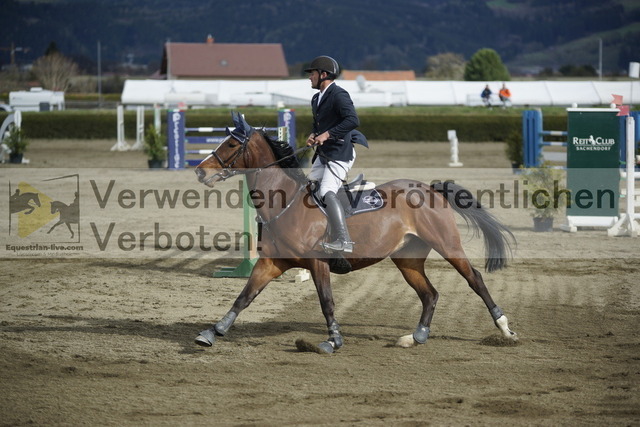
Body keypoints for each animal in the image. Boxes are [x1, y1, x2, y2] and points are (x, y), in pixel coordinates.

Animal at [192, 113, 516, 354]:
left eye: (230, 145)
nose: (199, 171)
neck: (285, 203)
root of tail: (429, 188)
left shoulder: (318, 263)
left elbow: (326, 302)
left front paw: (332, 340)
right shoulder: (271, 263)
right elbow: (244, 297)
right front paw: (213, 331)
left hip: (447, 244)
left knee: (474, 279)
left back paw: (505, 329)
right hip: (407, 258)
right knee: (429, 294)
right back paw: (416, 336)